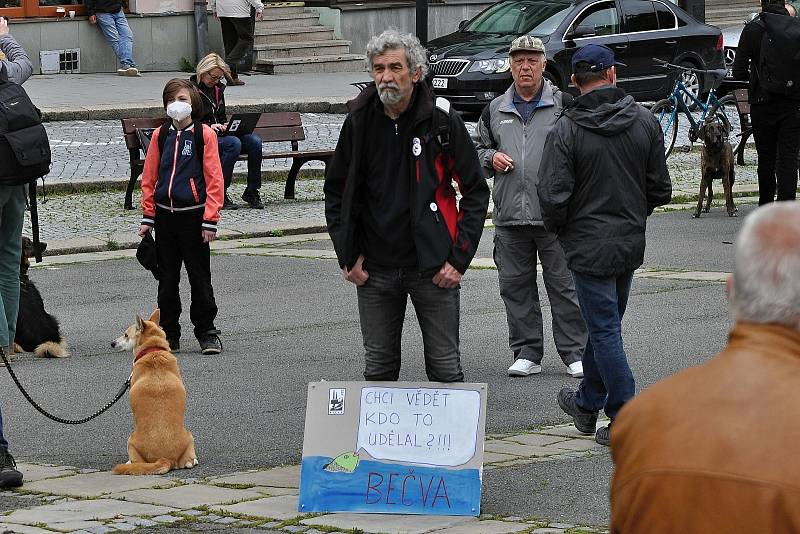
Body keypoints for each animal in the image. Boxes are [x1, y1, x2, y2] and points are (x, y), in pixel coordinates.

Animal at [110, 310, 198, 478]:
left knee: (136, 461)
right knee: (189, 462)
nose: (112, 343)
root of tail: (165, 459)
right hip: (190, 435)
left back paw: (130, 463)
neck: (154, 350)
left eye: (126, 335)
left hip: (130, 440)